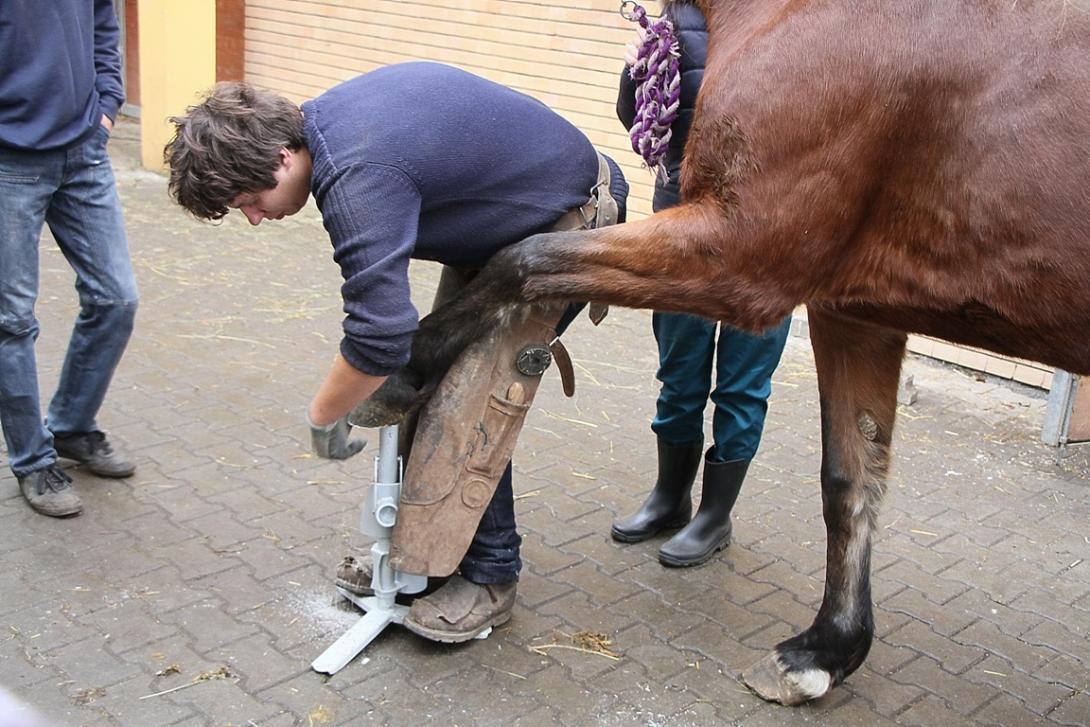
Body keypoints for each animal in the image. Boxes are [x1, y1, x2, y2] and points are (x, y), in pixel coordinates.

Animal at [368, 0, 1090, 706]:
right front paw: (823, 653)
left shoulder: (738, 255)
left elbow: (522, 260)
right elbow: (850, 479)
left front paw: (401, 374)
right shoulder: (853, 312)